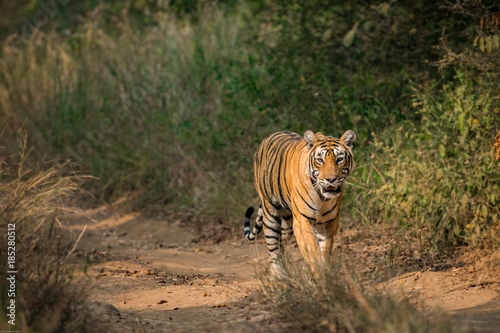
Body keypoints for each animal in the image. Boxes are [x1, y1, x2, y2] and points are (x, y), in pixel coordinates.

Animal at [243, 128, 356, 274]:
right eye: (320, 160)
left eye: (340, 159)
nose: (330, 179)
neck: (322, 197)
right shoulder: (302, 220)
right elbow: (313, 251)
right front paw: (319, 274)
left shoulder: (329, 222)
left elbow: (324, 251)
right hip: (270, 212)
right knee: (273, 247)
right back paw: (278, 274)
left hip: (287, 223)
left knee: (281, 243)